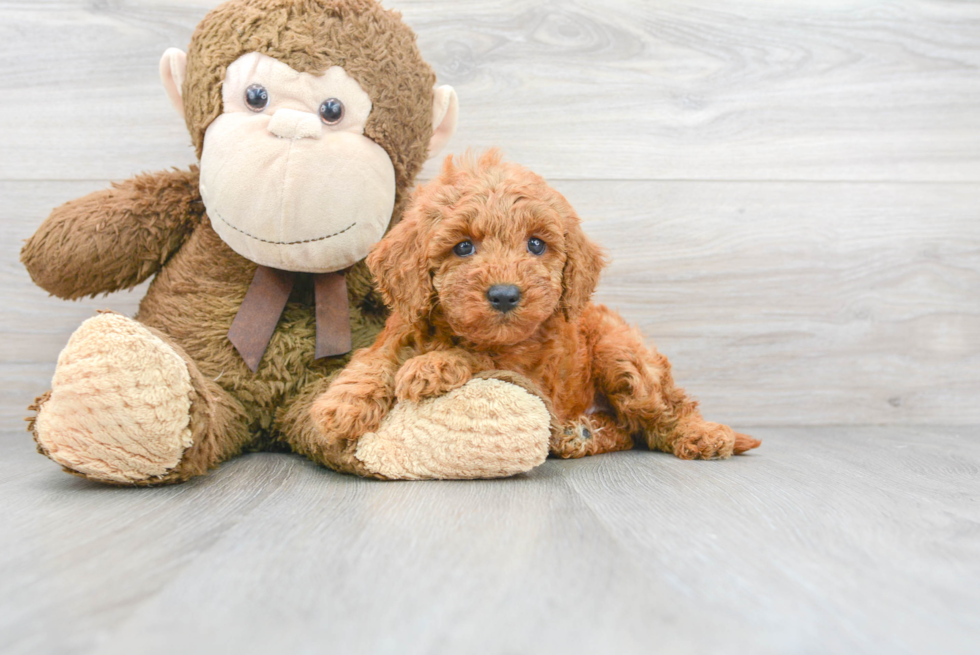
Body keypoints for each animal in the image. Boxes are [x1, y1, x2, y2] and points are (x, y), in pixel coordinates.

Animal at [312, 151, 756, 464]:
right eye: (463, 246)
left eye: (536, 244)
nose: (505, 295)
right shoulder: (400, 330)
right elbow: (373, 363)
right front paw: (339, 406)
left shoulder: (530, 371)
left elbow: (481, 357)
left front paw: (433, 366)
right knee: (630, 431)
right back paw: (581, 434)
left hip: (624, 358)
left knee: (663, 413)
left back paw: (703, 434)